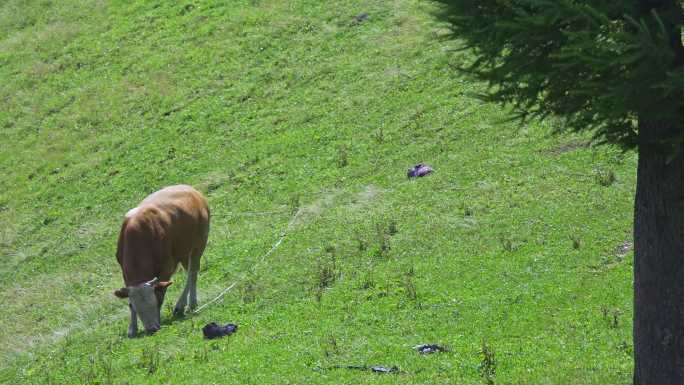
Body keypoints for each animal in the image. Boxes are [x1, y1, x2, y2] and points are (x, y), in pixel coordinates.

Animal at [113, 184, 210, 336]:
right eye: (136, 307)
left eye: (153, 303)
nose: (152, 329)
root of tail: (191, 190)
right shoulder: (124, 271)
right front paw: (132, 328)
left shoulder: (166, 267)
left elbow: (161, 293)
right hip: (183, 252)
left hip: (198, 245)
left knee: (192, 274)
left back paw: (187, 304)